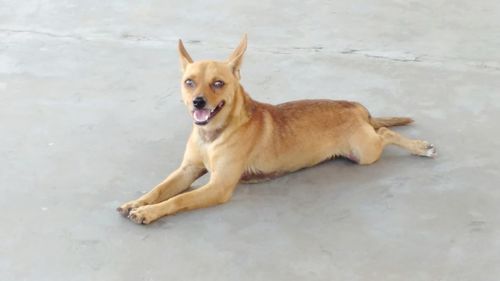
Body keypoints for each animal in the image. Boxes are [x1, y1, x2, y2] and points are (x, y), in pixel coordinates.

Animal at [116, 34, 434, 223]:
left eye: (218, 83)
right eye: (189, 82)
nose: (198, 102)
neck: (212, 135)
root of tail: (355, 105)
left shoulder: (218, 187)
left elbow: (179, 199)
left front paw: (148, 212)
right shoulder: (187, 171)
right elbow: (160, 188)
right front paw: (138, 202)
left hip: (365, 152)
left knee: (385, 134)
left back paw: (420, 147)